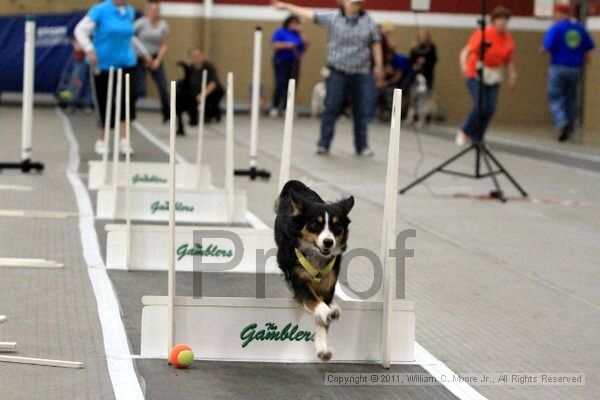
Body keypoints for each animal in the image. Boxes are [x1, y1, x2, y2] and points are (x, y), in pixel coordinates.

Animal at [274, 180, 354, 360]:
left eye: (337, 226)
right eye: (315, 225)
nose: (328, 242)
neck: (316, 256)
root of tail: (298, 186)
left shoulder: (328, 285)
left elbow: (322, 320)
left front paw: (322, 347)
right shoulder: (299, 279)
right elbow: (311, 298)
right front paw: (324, 310)